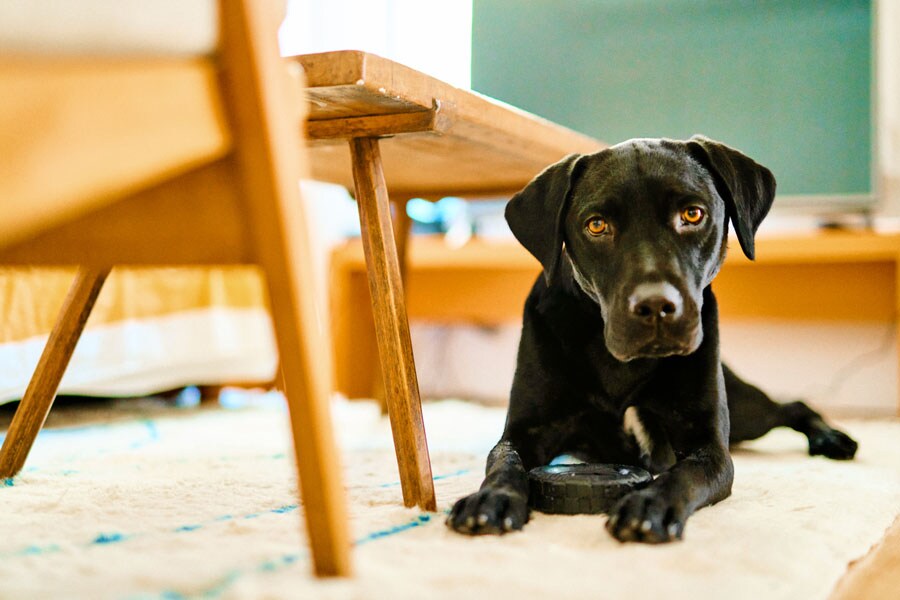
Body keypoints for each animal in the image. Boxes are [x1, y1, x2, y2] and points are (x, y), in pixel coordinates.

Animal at [448, 136, 856, 544]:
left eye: (692, 214)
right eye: (597, 225)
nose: (657, 306)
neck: (617, 362)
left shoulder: (708, 442)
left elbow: (684, 473)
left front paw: (650, 504)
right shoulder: (527, 429)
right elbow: (503, 461)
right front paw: (491, 499)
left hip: (746, 413)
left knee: (794, 406)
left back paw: (832, 439)